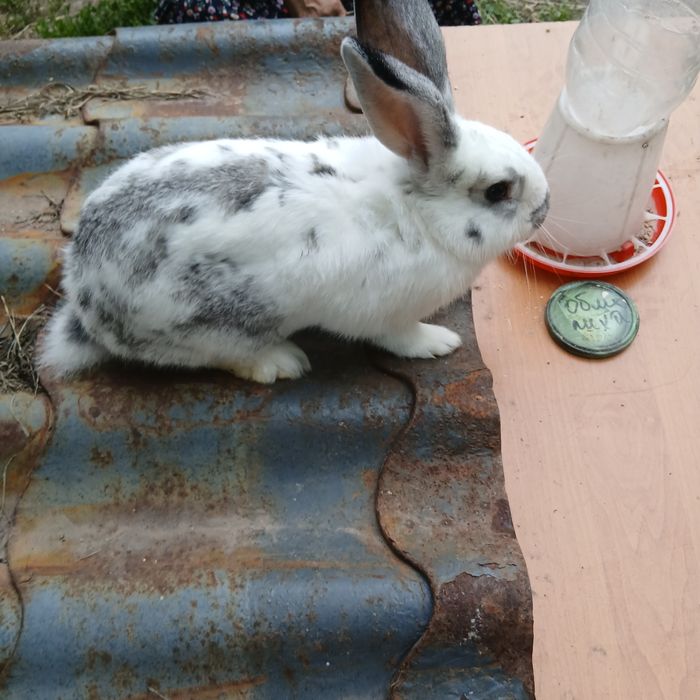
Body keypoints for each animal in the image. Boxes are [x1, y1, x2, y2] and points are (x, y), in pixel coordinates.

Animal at [40, 0, 549, 384]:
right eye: (498, 191)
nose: (544, 209)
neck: (416, 209)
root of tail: (84, 297)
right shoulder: (387, 314)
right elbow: (400, 338)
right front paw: (440, 343)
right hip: (211, 327)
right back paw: (282, 362)